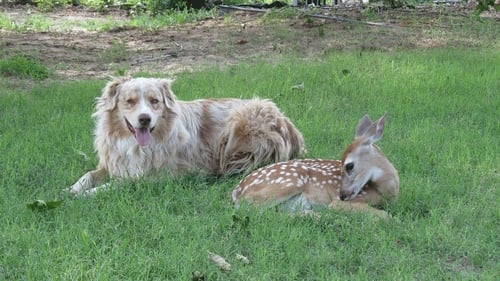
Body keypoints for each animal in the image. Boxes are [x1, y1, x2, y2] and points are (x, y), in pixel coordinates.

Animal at [69, 76, 304, 195]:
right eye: (130, 101)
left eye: (155, 101)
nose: (145, 119)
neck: (133, 144)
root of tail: (289, 125)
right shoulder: (113, 164)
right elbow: (87, 176)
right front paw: (69, 190)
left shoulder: (154, 175)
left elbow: (116, 184)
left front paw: (86, 194)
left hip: (240, 123)